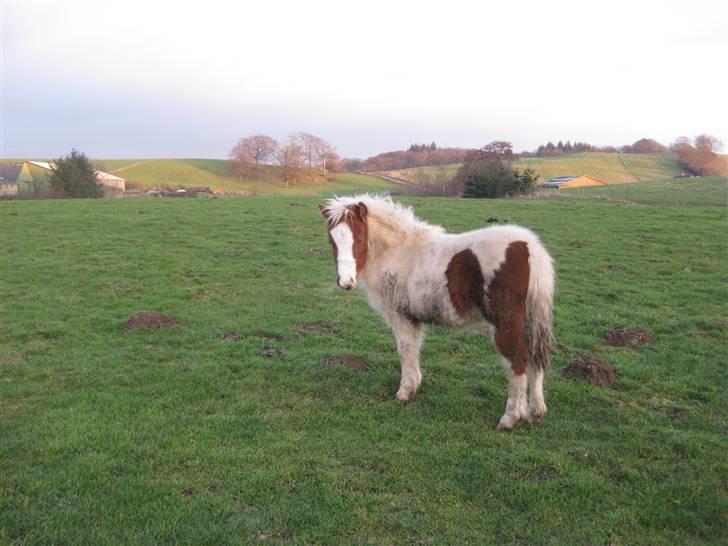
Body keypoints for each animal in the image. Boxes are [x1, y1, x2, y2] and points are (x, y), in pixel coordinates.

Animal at [318, 193, 552, 428]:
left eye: (358, 239)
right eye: (331, 242)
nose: (346, 282)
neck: (397, 251)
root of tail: (530, 247)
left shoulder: (400, 315)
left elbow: (405, 350)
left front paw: (404, 393)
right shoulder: (412, 318)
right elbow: (414, 349)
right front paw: (414, 386)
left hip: (505, 322)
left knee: (518, 360)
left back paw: (511, 417)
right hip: (530, 319)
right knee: (536, 357)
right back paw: (536, 411)